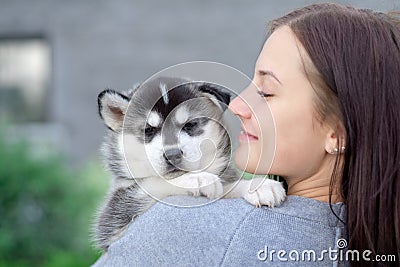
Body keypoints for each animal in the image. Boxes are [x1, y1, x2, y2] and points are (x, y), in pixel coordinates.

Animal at [94, 77, 284, 251]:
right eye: (149, 130)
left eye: (190, 125)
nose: (172, 155)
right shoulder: (116, 217)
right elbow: (154, 183)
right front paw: (197, 179)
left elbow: (227, 187)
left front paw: (258, 186)